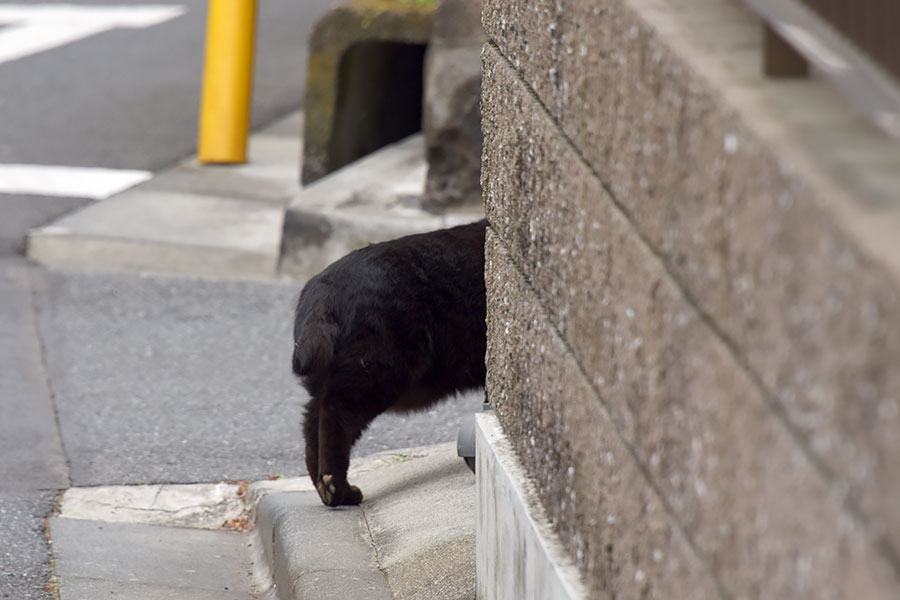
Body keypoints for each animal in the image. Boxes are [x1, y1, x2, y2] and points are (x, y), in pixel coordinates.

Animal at [290, 220, 486, 506]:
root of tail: (322, 288)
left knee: (311, 422)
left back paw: (326, 491)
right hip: (378, 372)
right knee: (335, 417)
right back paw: (339, 490)